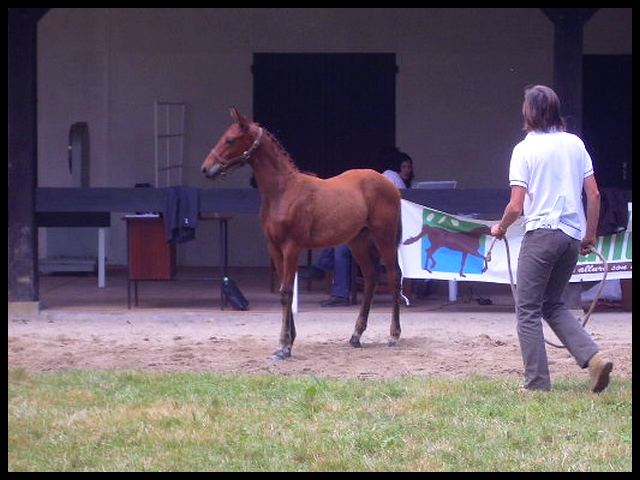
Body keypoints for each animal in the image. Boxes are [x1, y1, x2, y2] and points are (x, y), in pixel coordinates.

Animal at [201, 107, 400, 358]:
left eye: (230, 139)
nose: (206, 168)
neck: (283, 191)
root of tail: (389, 184)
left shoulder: (292, 247)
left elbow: (286, 292)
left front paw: (283, 346)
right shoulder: (275, 248)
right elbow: (284, 292)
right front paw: (289, 340)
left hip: (385, 237)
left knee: (394, 276)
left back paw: (393, 335)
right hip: (358, 241)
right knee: (372, 277)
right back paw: (356, 336)